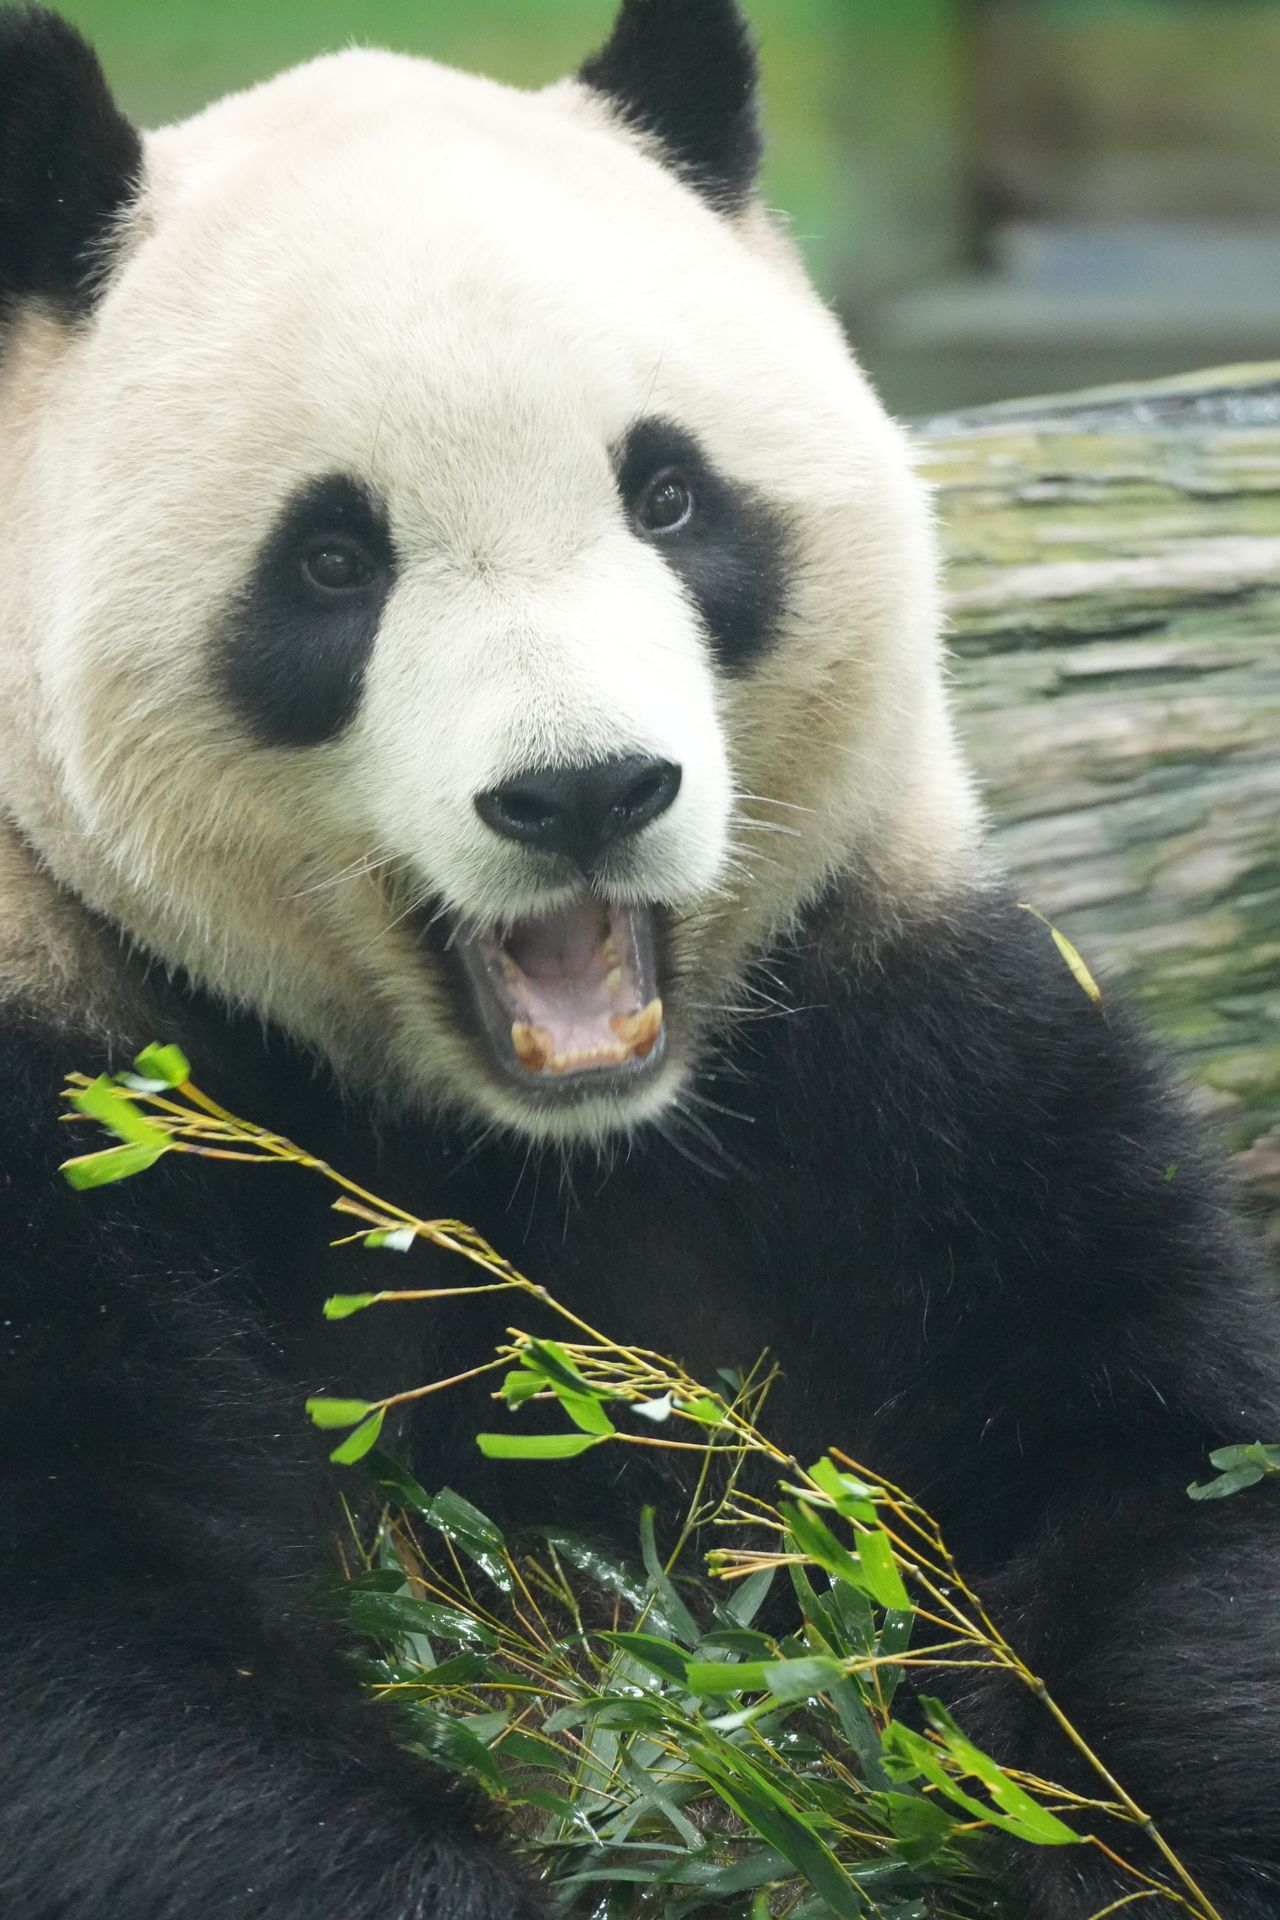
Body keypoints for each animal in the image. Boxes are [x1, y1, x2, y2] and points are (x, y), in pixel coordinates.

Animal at [0, 2, 1276, 1915]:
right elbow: (100, 1664)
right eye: (331, 560)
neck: (539, 1142)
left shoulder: (895, 1040)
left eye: (670, 495)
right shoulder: (63, 1082)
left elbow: (1163, 1479)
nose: (585, 790)